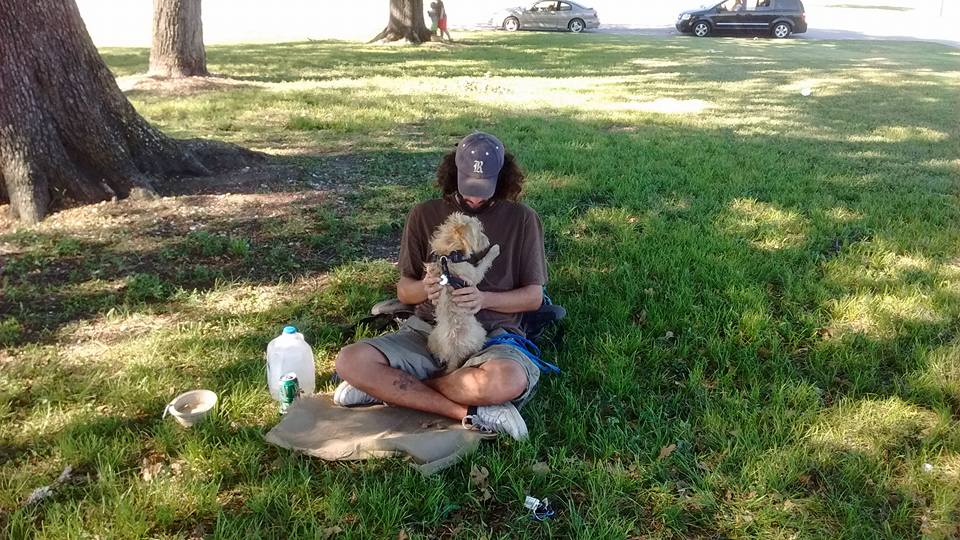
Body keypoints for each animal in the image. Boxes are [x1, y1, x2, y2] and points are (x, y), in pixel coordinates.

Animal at [428, 213, 502, 374]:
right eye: (479, 232)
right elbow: (484, 262)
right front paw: (494, 250)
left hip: (433, 337)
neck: (449, 255)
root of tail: (454, 355)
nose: (488, 241)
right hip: (480, 332)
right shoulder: (474, 274)